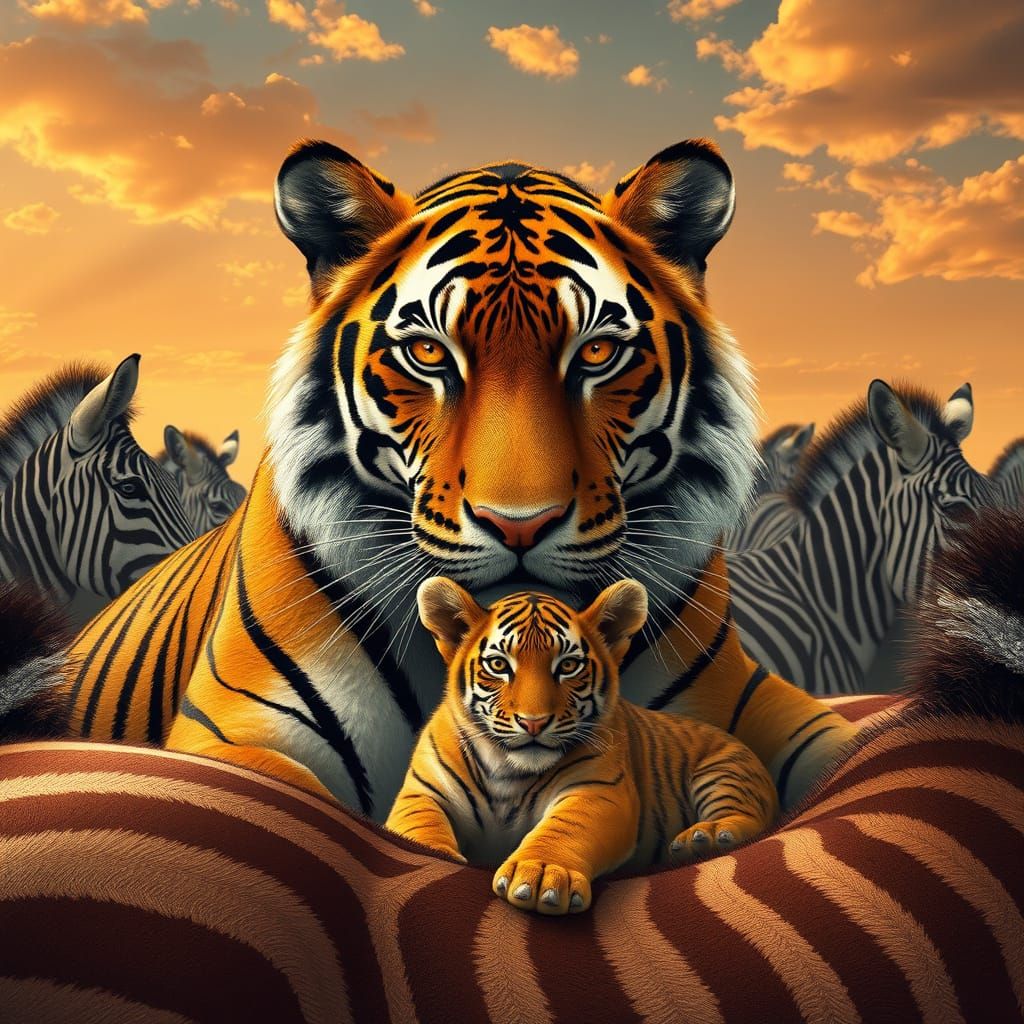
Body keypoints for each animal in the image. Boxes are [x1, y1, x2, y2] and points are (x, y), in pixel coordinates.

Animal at [386, 577, 778, 915]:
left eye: (569, 665)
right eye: (498, 665)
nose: (533, 722)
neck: (508, 772)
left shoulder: (599, 791)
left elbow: (566, 828)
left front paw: (540, 875)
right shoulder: (422, 793)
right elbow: (418, 827)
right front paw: (434, 861)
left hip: (725, 773)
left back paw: (705, 838)